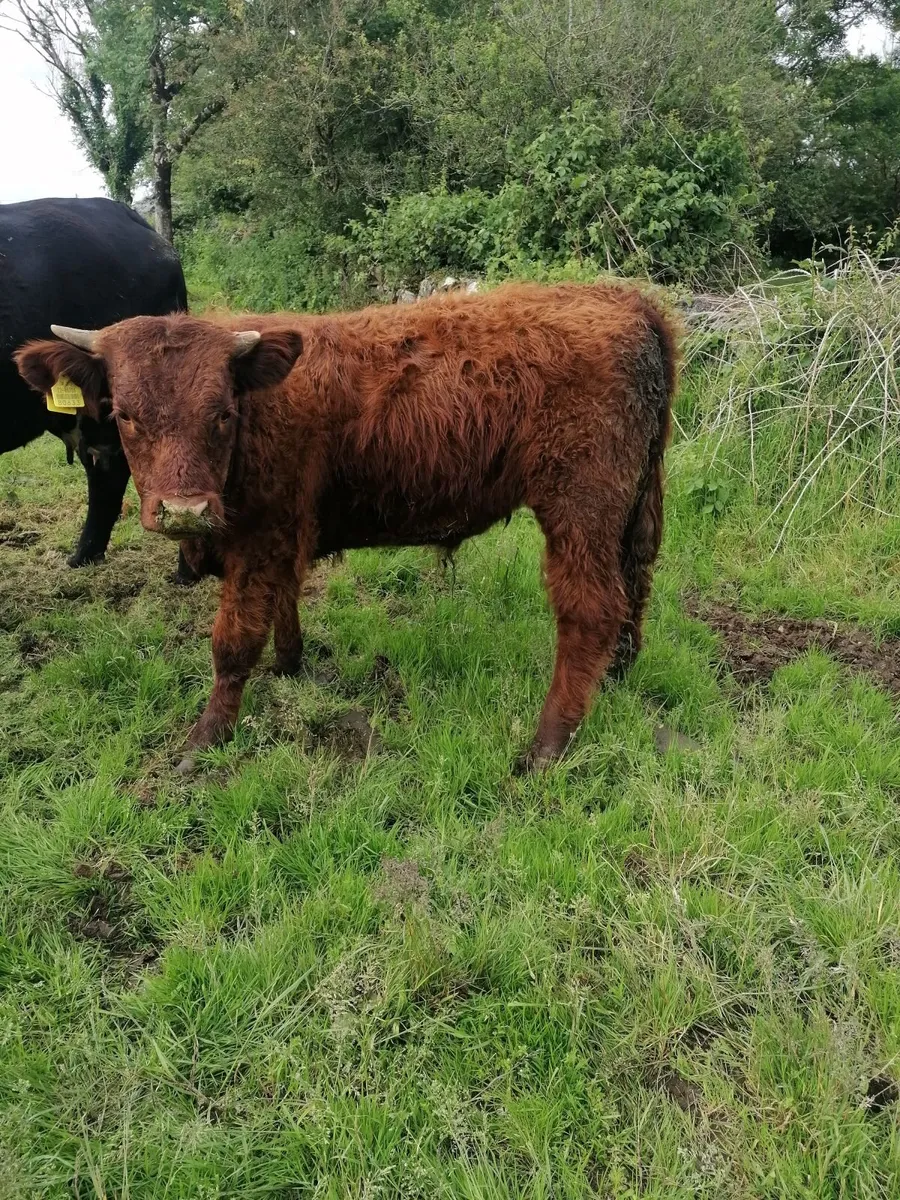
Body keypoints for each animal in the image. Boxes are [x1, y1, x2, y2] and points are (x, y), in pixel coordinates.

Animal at [15, 282, 677, 770]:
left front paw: (205, 739)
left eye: (223, 412)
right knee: (635, 585)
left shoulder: (258, 539)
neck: (260, 402)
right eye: (124, 414)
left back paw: (545, 746)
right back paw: (616, 677)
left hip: (579, 508)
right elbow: (283, 605)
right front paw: (289, 664)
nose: (184, 511)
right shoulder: (280, 536)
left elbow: (232, 643)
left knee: (590, 611)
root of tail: (625, 300)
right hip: (634, 505)